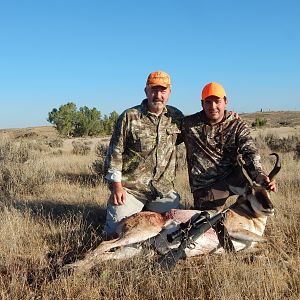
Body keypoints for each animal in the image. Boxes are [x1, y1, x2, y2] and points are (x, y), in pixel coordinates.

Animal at [63, 154, 282, 274]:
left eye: (269, 189)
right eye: (250, 191)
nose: (269, 207)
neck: (246, 215)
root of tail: (127, 220)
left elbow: (262, 248)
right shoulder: (235, 231)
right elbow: (269, 240)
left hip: (133, 250)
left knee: (105, 255)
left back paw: (73, 267)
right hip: (140, 234)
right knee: (103, 245)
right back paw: (73, 268)